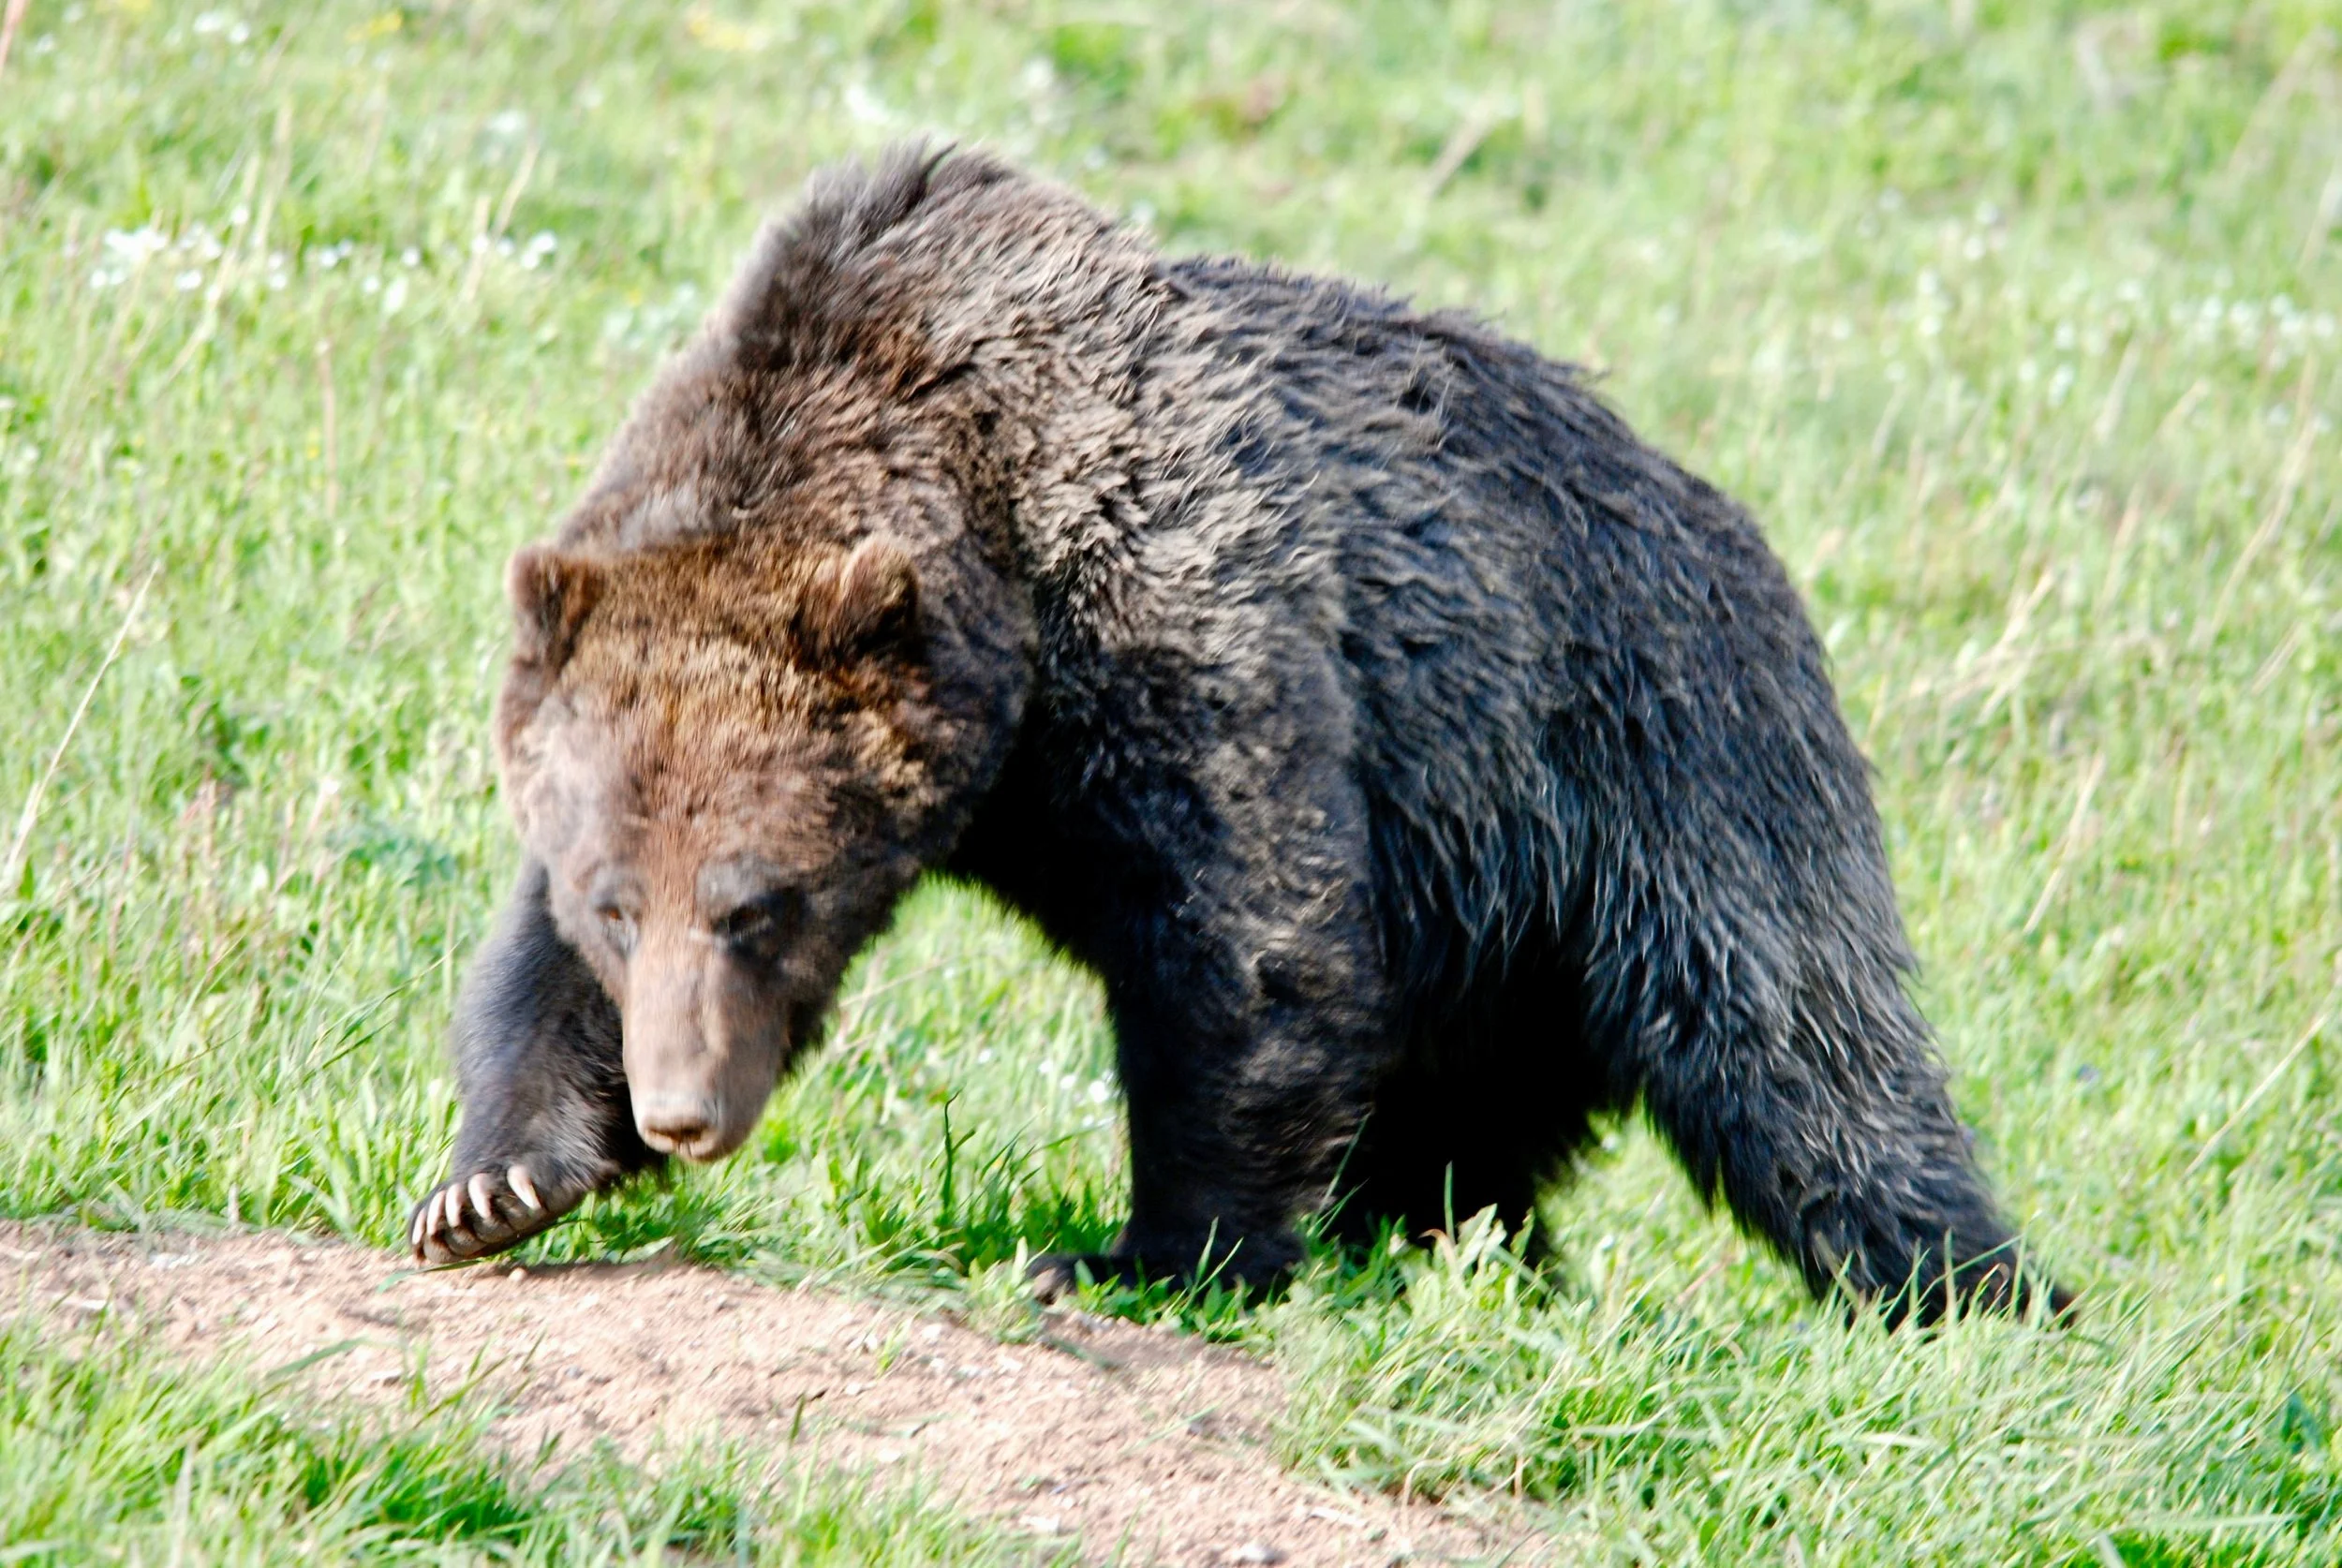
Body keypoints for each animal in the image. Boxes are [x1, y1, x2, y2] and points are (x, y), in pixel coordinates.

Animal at [407, 144, 2067, 1325]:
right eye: (619, 902)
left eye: (765, 902)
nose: (682, 1108)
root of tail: (1724, 508)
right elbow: (528, 975)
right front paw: (493, 1181)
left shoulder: (1183, 620)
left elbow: (1250, 942)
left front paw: (1138, 1249)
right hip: (1499, 920)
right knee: (1478, 1122)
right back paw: (1453, 1246)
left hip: (1661, 759)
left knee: (1803, 1055)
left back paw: (1981, 1289)